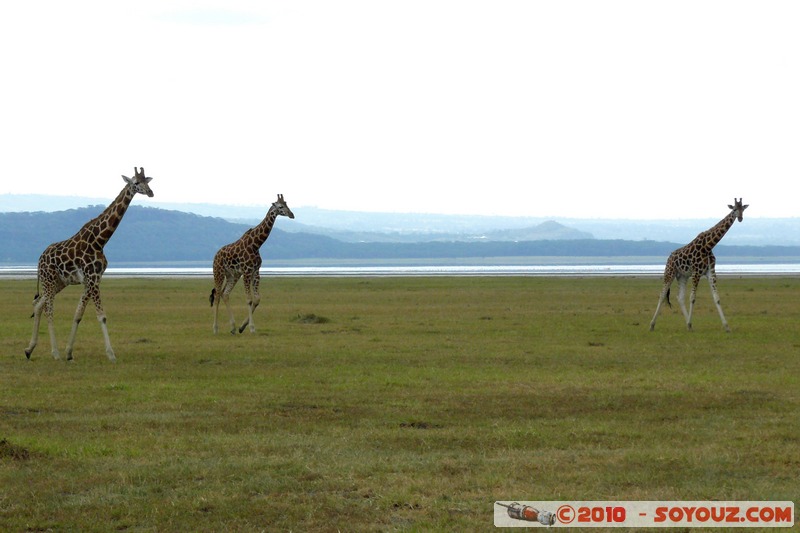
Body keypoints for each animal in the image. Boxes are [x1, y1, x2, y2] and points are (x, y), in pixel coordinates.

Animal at [25, 168, 153, 360]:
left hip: (59, 282)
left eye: (148, 181)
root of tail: (40, 258)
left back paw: (29, 350)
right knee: (48, 310)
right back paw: (54, 353)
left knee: (39, 304)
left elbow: (78, 314)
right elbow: (102, 316)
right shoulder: (92, 278)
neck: (99, 241)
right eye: (136, 183)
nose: (151, 193)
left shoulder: (92, 279)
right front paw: (111, 355)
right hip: (48, 280)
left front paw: (69, 353)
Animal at [209, 193, 294, 334]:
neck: (256, 245)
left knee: (225, 294)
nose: (292, 215)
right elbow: (249, 300)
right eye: (280, 206)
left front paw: (242, 327)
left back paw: (233, 327)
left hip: (233, 275)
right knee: (217, 296)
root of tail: (216, 255)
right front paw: (252, 328)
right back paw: (215, 329)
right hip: (219, 272)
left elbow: (257, 299)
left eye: (287, 204)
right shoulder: (247, 271)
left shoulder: (256, 271)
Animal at [648, 198, 752, 332]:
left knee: (680, 297)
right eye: (734, 209)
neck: (708, 246)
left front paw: (727, 327)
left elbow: (716, 298)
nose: (740, 218)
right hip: (670, 272)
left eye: (742, 209)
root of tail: (669, 257)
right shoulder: (696, 272)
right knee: (662, 295)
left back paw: (689, 325)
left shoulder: (710, 272)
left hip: (682, 276)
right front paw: (690, 323)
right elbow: (692, 298)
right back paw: (652, 325)